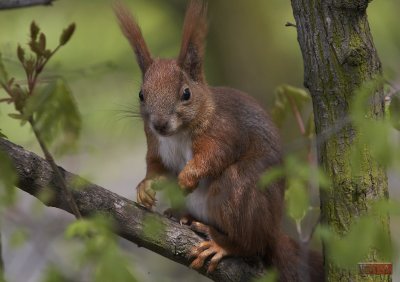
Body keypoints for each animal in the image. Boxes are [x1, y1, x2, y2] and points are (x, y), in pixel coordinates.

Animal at [114, 1, 324, 280]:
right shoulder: (155, 144)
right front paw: (145, 187)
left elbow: (215, 155)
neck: (178, 134)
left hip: (241, 192)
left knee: (250, 243)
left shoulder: (225, 130)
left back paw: (221, 244)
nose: (159, 124)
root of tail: (272, 233)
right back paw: (184, 216)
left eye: (186, 94)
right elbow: (156, 167)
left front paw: (187, 177)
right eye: (141, 94)